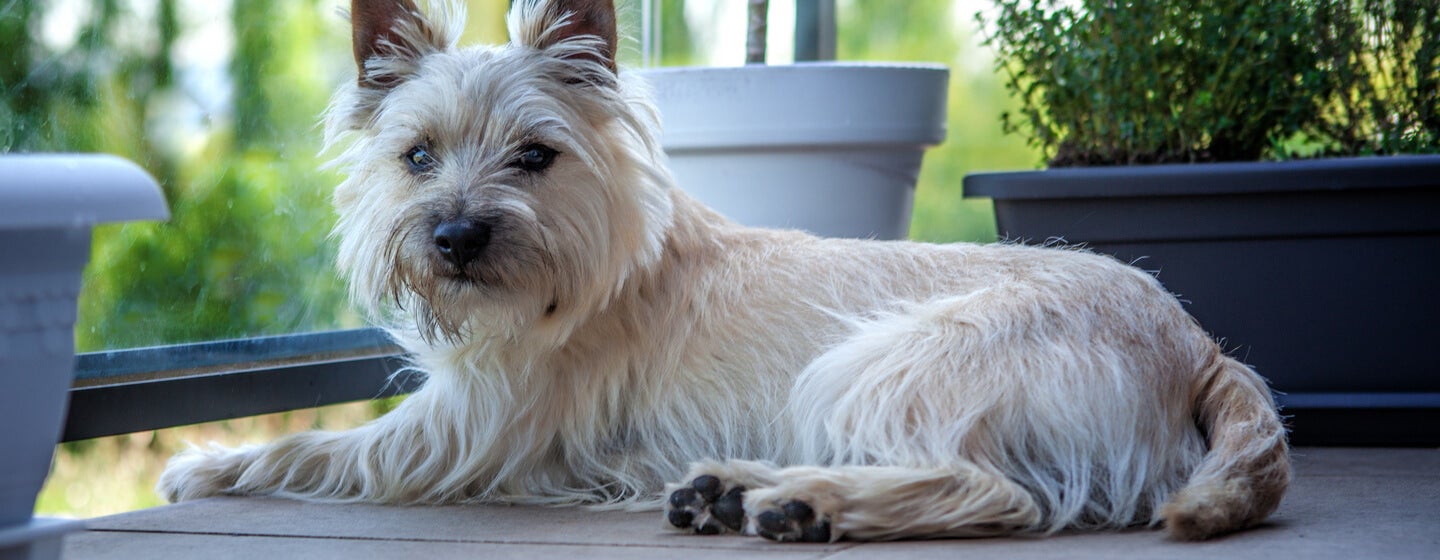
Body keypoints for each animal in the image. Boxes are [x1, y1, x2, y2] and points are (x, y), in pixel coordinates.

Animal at [160, 0, 1296, 541]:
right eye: (417, 155)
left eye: (535, 155)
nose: (456, 238)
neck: (588, 265)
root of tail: (1201, 343)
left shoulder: (457, 430)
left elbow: (310, 445)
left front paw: (206, 463)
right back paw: (737, 489)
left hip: (875, 366)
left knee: (994, 489)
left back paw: (808, 504)